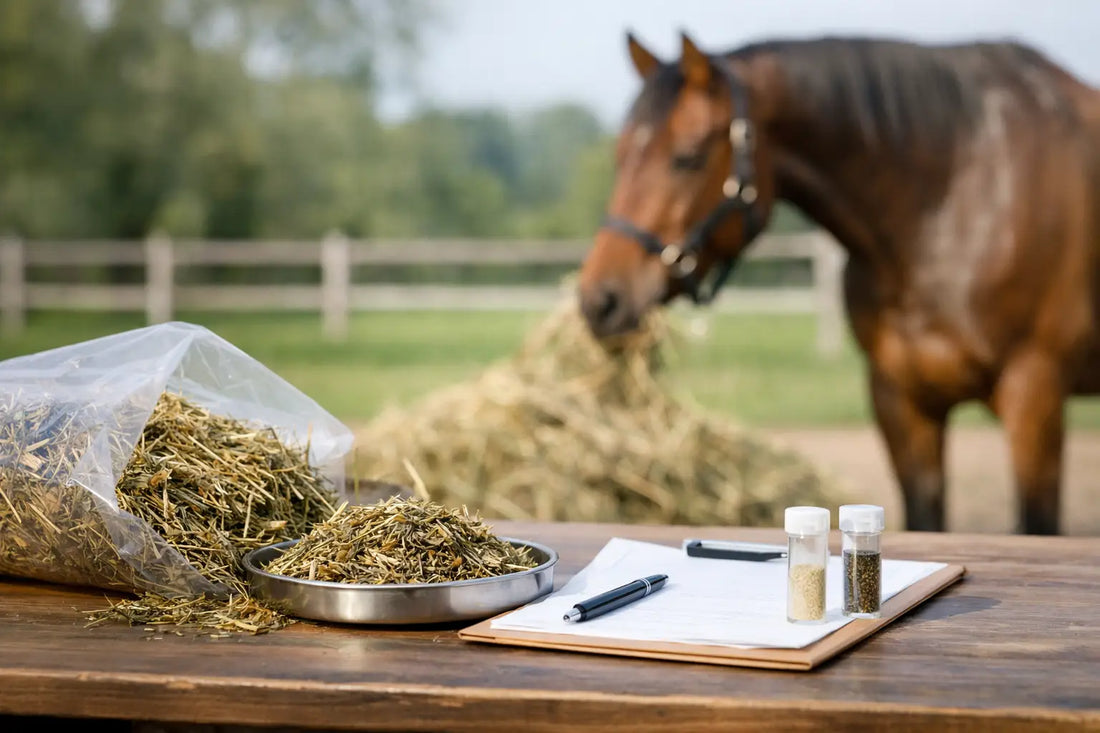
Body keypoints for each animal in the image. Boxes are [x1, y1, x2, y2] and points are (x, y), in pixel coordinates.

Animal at [578, 32, 1100, 535]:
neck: (953, 200)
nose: (600, 300)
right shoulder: (900, 401)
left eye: (687, 158)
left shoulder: (1034, 394)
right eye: (620, 155)